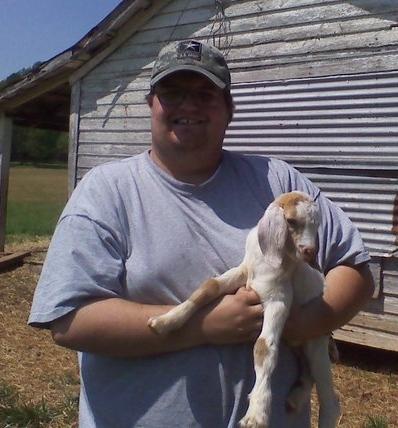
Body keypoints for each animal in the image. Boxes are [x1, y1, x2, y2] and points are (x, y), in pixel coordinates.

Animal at [148, 192, 340, 428]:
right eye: (292, 221)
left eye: (317, 225)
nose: (310, 253)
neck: (268, 262)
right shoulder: (244, 272)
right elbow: (209, 286)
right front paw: (165, 321)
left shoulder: (278, 300)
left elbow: (264, 347)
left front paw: (256, 414)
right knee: (307, 371)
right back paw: (295, 398)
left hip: (316, 341)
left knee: (329, 397)